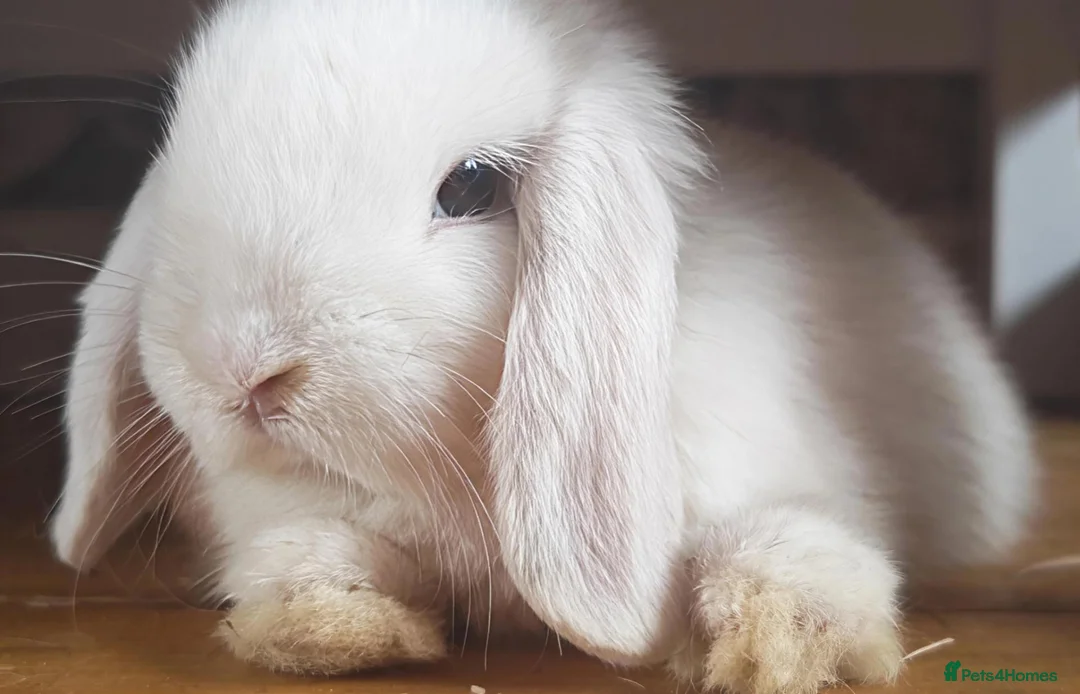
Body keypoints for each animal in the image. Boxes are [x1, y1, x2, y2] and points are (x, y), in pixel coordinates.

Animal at [48, 0, 1039, 692]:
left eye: (472, 188)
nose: (243, 373)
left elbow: (791, 546)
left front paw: (777, 641)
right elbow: (314, 552)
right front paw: (335, 624)